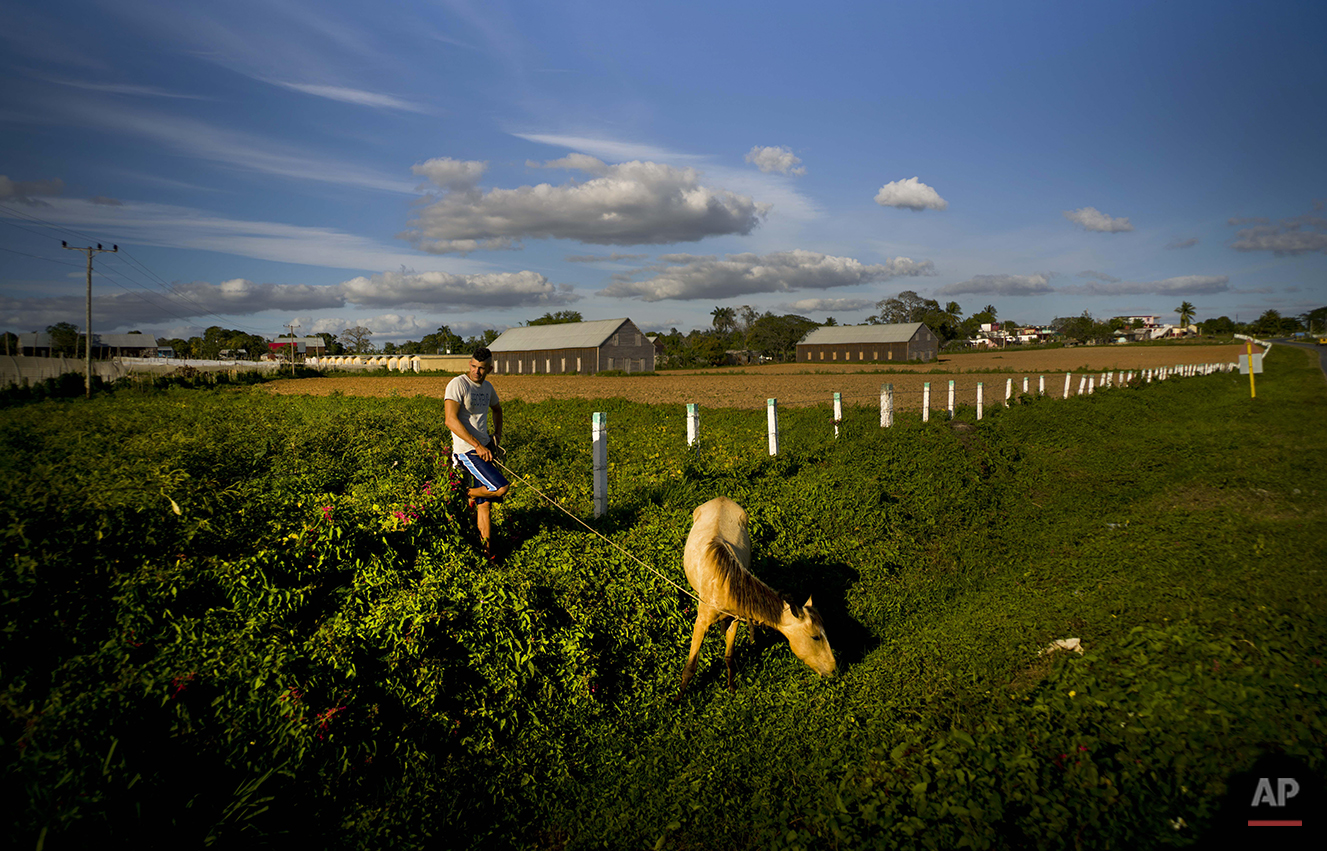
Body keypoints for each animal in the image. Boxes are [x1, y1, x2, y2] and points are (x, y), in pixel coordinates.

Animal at [679, 493, 833, 695]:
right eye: (815, 636)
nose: (833, 669)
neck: (724, 584)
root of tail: (721, 498)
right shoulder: (701, 623)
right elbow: (690, 666)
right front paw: (678, 698)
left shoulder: (736, 619)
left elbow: (729, 656)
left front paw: (731, 687)